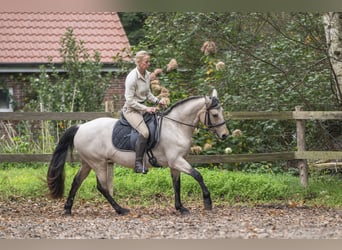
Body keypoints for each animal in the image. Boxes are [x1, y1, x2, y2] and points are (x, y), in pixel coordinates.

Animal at [46, 89, 228, 215]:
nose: (225, 135)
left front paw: (180, 207)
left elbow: (177, 184)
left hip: (88, 162)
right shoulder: (177, 160)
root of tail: (80, 127)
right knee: (102, 187)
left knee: (77, 181)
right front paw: (207, 201)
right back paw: (120, 209)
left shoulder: (175, 163)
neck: (175, 126)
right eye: (214, 114)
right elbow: (198, 175)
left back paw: (68, 209)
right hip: (98, 163)